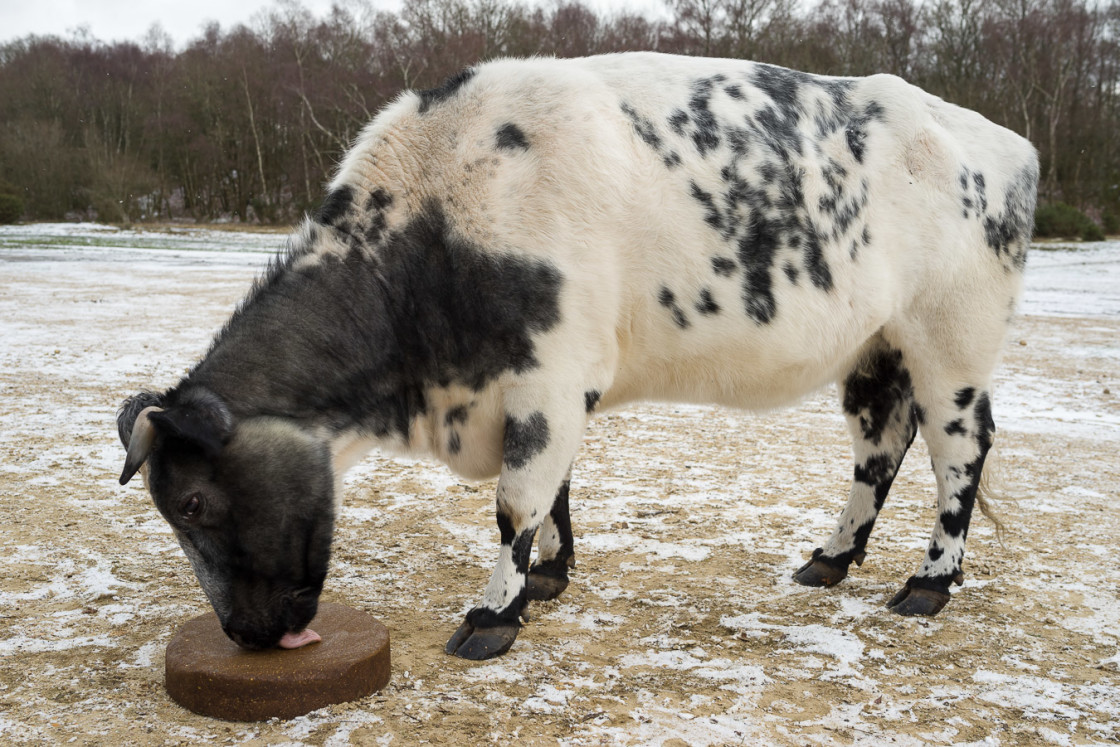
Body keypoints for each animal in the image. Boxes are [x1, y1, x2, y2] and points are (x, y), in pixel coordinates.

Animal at [118, 51, 1034, 658]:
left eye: (192, 502)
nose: (242, 632)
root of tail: (1001, 140)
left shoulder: (549, 377)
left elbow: (516, 502)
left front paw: (493, 615)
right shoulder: (548, 390)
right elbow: (554, 488)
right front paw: (550, 577)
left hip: (951, 340)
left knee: (960, 450)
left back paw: (929, 582)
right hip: (876, 350)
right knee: (880, 447)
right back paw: (832, 558)